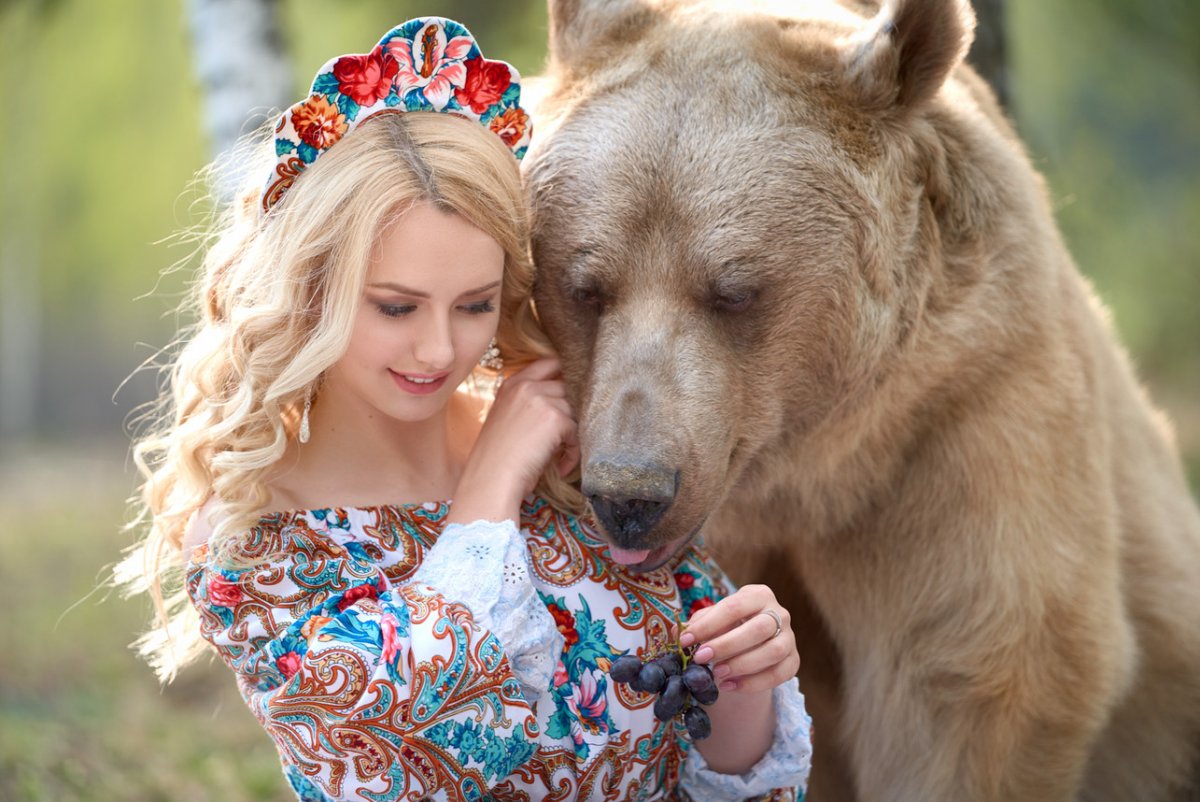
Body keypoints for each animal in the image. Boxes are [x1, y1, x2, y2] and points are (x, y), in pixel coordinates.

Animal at [522, 0, 1200, 800]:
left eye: (734, 291)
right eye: (585, 286)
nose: (631, 495)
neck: (801, 470)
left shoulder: (957, 419)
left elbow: (969, 670)